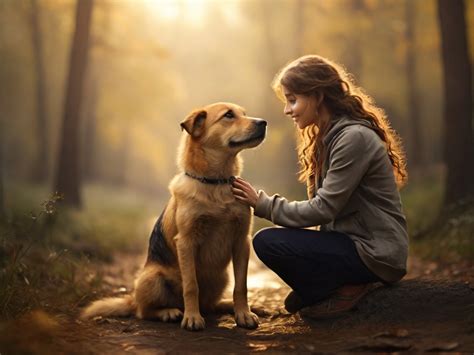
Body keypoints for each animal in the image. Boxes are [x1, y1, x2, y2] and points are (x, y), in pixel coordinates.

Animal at [81, 103, 266, 330]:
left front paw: (244, 314)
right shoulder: (186, 242)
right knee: (143, 311)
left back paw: (234, 306)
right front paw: (192, 317)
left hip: (220, 278)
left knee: (211, 305)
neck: (215, 183)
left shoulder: (241, 241)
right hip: (153, 279)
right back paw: (169, 312)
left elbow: (241, 285)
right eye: (228, 115)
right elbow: (191, 285)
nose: (263, 122)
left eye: (244, 114)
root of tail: (132, 299)